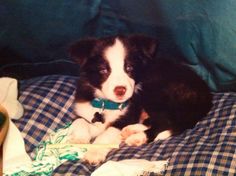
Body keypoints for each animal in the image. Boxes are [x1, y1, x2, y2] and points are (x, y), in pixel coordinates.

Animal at [68, 34, 157, 165]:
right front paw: (79, 139)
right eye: (103, 70)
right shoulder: (85, 111)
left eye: (129, 68)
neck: (106, 103)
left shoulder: (126, 117)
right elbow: (79, 121)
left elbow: (107, 133)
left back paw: (136, 136)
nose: (120, 90)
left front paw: (94, 153)